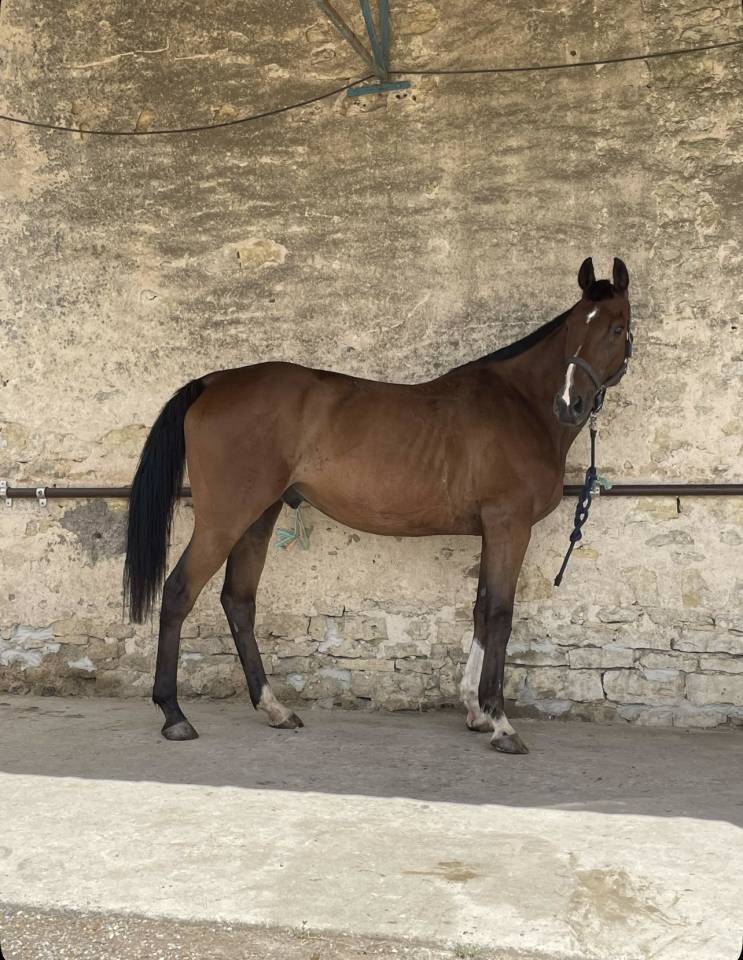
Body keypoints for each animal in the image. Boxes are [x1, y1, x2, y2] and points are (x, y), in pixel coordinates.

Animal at [124, 256, 632, 753]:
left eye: (616, 327)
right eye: (575, 326)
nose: (570, 403)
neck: (519, 405)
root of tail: (213, 381)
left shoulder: (495, 530)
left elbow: (481, 608)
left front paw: (474, 711)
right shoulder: (510, 525)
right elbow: (500, 615)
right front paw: (501, 723)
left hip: (258, 516)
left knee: (239, 601)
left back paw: (275, 709)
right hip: (224, 519)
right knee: (179, 591)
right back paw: (174, 716)